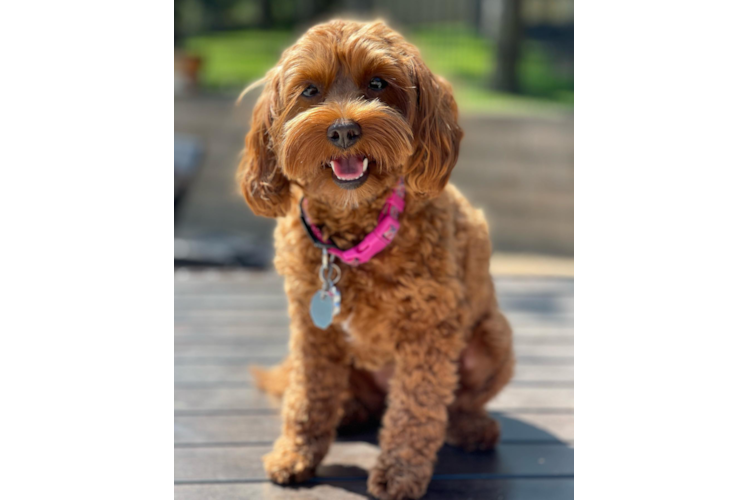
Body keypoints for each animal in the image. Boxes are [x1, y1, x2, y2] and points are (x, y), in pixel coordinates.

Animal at [238, 19, 516, 500]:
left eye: (378, 84)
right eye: (309, 90)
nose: (344, 131)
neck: (353, 237)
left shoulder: (429, 330)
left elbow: (417, 408)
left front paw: (400, 472)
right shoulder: (312, 329)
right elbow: (308, 394)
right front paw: (295, 453)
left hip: (495, 336)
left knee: (456, 401)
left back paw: (471, 428)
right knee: (353, 397)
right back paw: (349, 410)